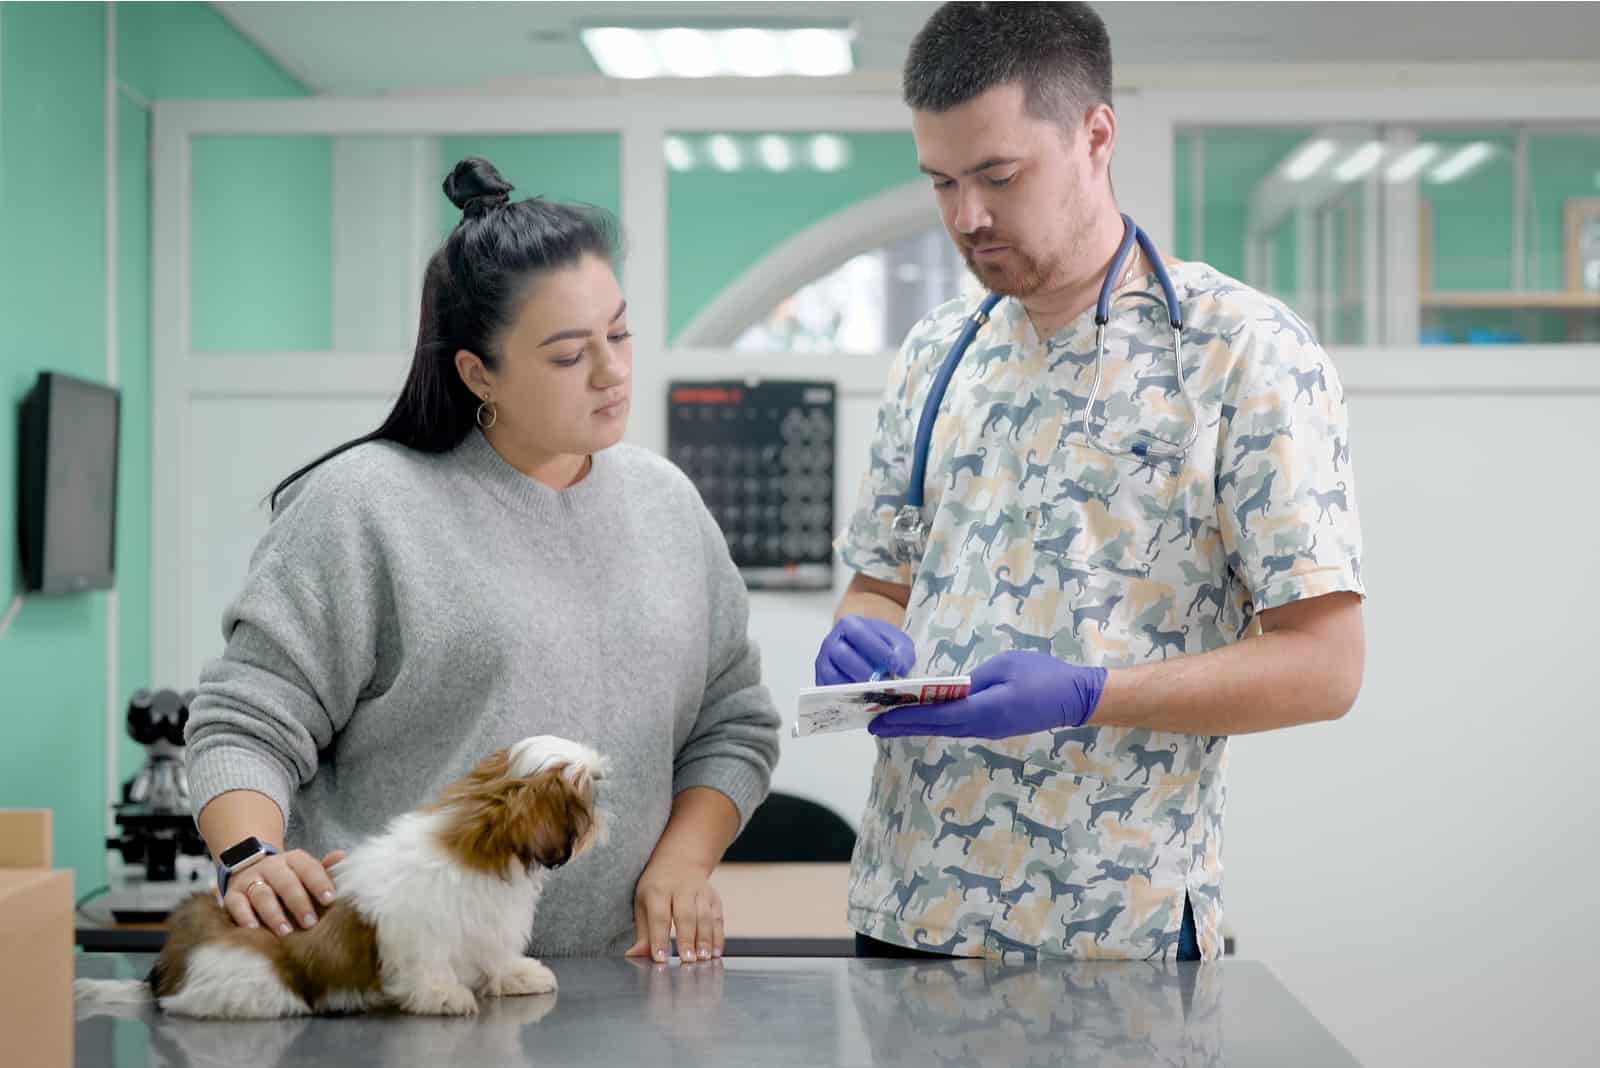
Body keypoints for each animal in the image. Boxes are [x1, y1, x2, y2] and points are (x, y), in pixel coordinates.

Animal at [73, 735, 604, 1016]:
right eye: (588, 795)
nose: (605, 811)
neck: (479, 843)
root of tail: (171, 968)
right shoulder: (419, 932)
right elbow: (428, 966)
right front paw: (444, 996)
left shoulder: (487, 925)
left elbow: (494, 955)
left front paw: (516, 975)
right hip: (256, 977)